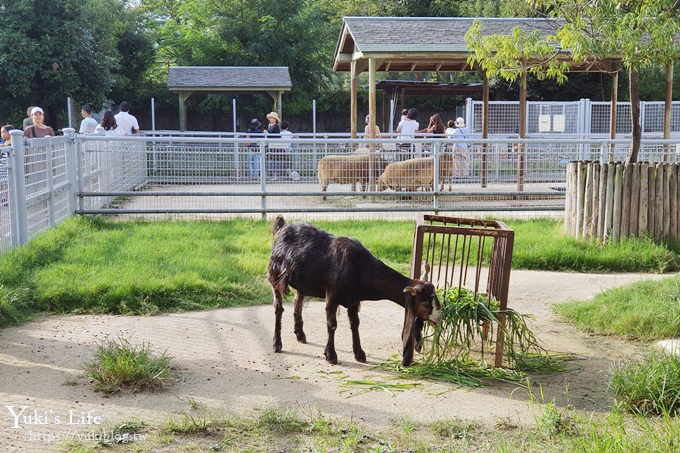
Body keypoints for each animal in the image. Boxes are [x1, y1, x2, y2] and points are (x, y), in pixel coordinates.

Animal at [266, 214, 440, 366]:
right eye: (425, 301)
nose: (439, 317)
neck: (360, 268)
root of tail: (282, 225)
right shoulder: (333, 294)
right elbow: (332, 324)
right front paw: (331, 355)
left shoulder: (354, 300)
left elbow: (355, 324)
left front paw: (359, 354)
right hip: (275, 275)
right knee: (278, 308)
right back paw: (277, 343)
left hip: (302, 282)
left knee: (298, 303)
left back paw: (300, 334)